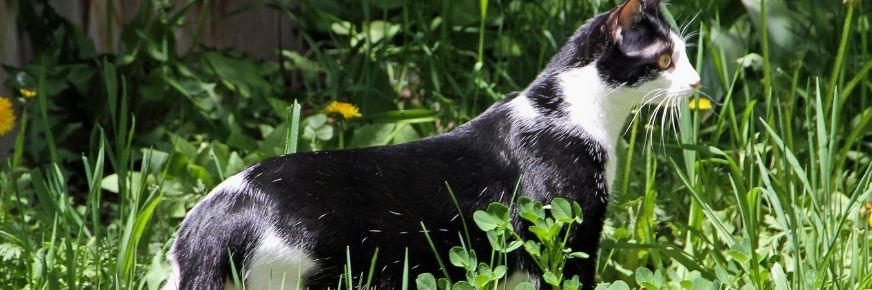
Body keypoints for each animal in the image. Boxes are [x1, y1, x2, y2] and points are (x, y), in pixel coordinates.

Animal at [164, 0, 700, 288]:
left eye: (686, 54)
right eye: (665, 59)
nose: (696, 83)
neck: (573, 115)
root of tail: (214, 220)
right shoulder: (569, 231)